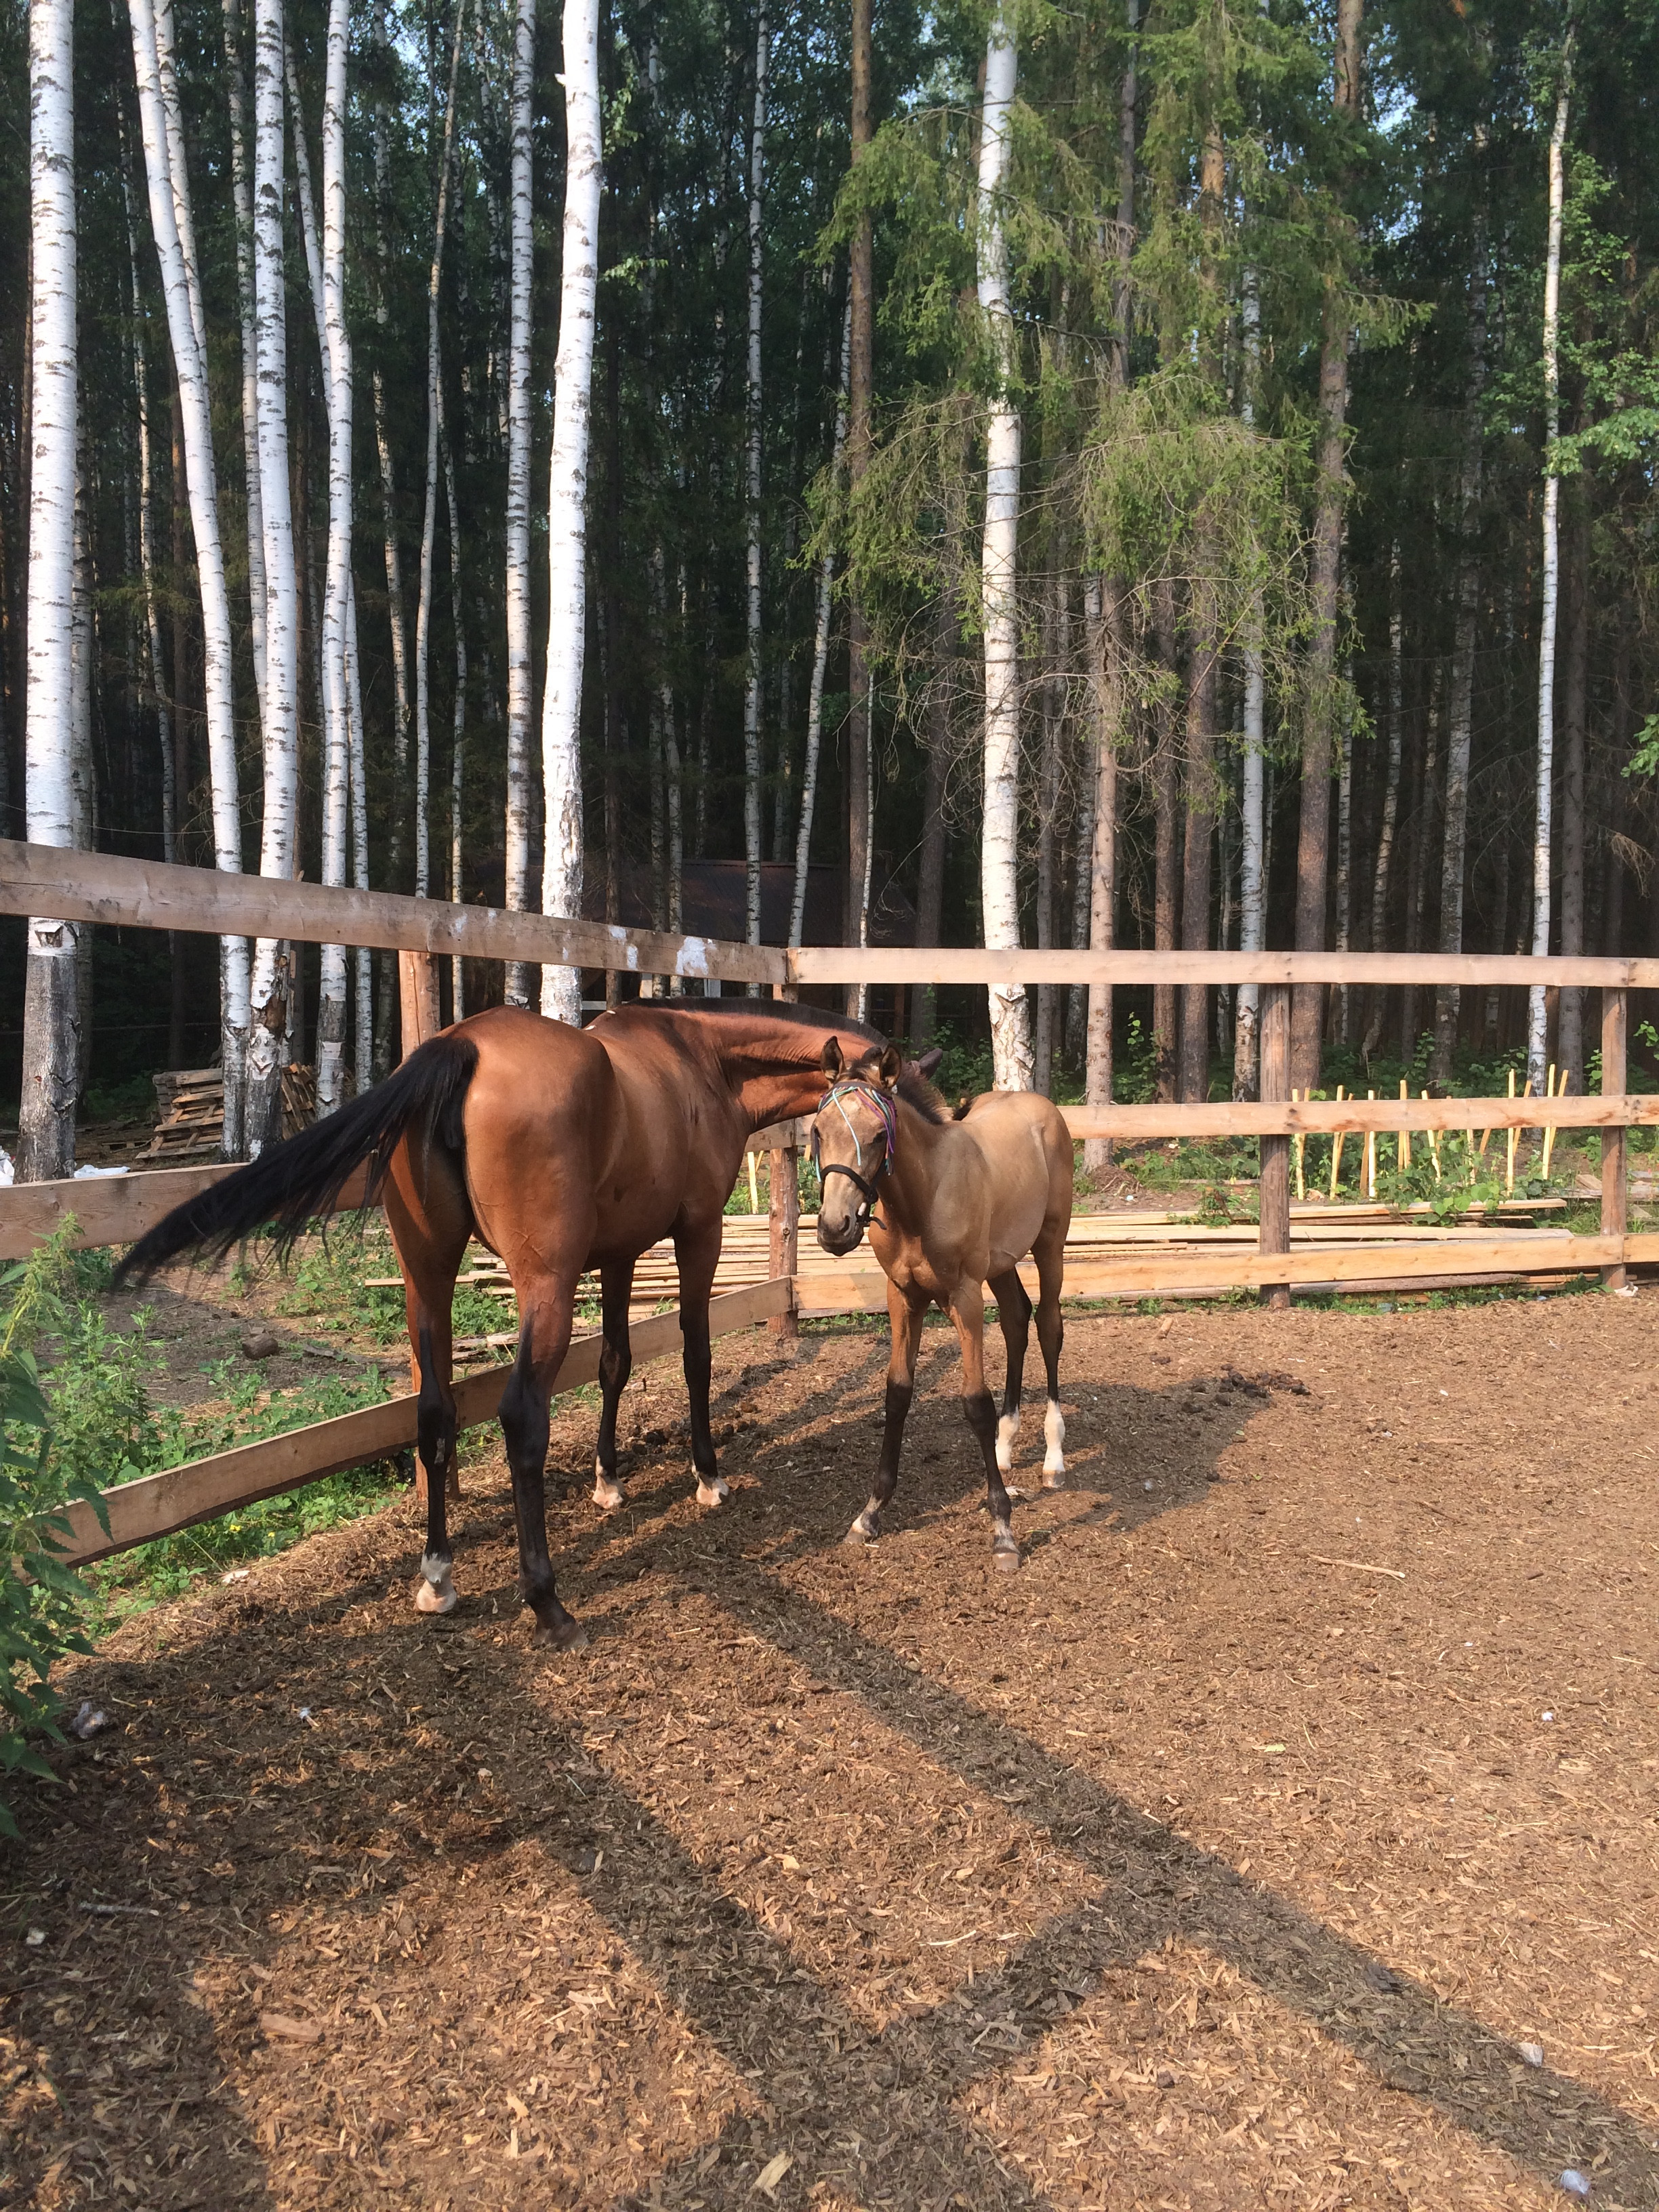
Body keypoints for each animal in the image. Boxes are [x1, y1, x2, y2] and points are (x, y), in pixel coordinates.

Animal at [118, 1000, 889, 1645]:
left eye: (878, 1133)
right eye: (833, 1129)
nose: (839, 1229)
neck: (700, 1060)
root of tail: (460, 1047)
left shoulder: (621, 1252)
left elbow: (615, 1363)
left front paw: (609, 1481)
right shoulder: (696, 1235)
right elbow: (695, 1358)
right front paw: (708, 1477)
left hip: (427, 1280)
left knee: (434, 1411)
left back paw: (437, 1578)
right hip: (544, 1288)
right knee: (521, 1416)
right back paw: (548, 1604)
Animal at [809, 1040, 1070, 1574]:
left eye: (877, 1136)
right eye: (819, 1131)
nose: (835, 1228)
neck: (922, 1199)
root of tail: (1040, 1106)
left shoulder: (965, 1297)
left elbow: (975, 1402)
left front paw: (1003, 1532)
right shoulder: (903, 1298)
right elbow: (897, 1394)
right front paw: (870, 1514)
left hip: (1049, 1245)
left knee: (1049, 1326)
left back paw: (1053, 1458)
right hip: (1000, 1263)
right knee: (1017, 1320)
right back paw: (1005, 1447)